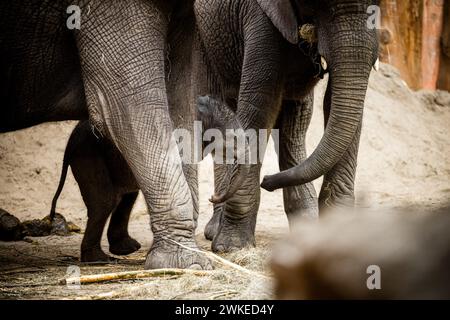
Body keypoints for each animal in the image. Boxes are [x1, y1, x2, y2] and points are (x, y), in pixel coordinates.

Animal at [50, 97, 237, 262]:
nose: (212, 197)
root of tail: (70, 142)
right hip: (88, 156)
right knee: (105, 202)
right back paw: (100, 260)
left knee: (125, 198)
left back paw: (126, 249)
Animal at [194, 0, 380, 252]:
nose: (267, 181)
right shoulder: (258, 15)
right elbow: (260, 103)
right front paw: (232, 247)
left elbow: (336, 100)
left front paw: (341, 238)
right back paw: (214, 230)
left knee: (297, 117)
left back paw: (306, 223)